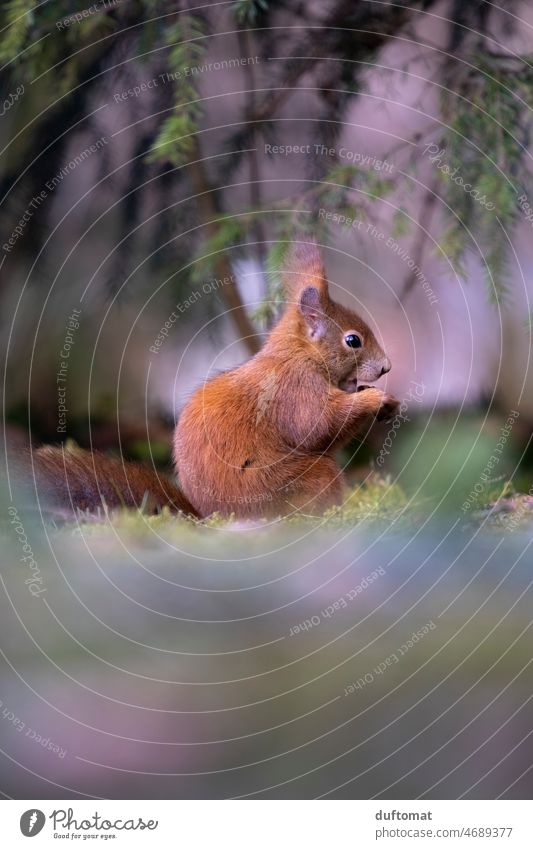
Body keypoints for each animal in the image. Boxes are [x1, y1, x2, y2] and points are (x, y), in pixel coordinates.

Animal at [28, 238, 394, 516]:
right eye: (353, 341)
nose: (386, 367)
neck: (301, 354)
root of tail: (208, 518)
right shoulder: (295, 389)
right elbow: (318, 425)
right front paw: (374, 398)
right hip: (298, 480)